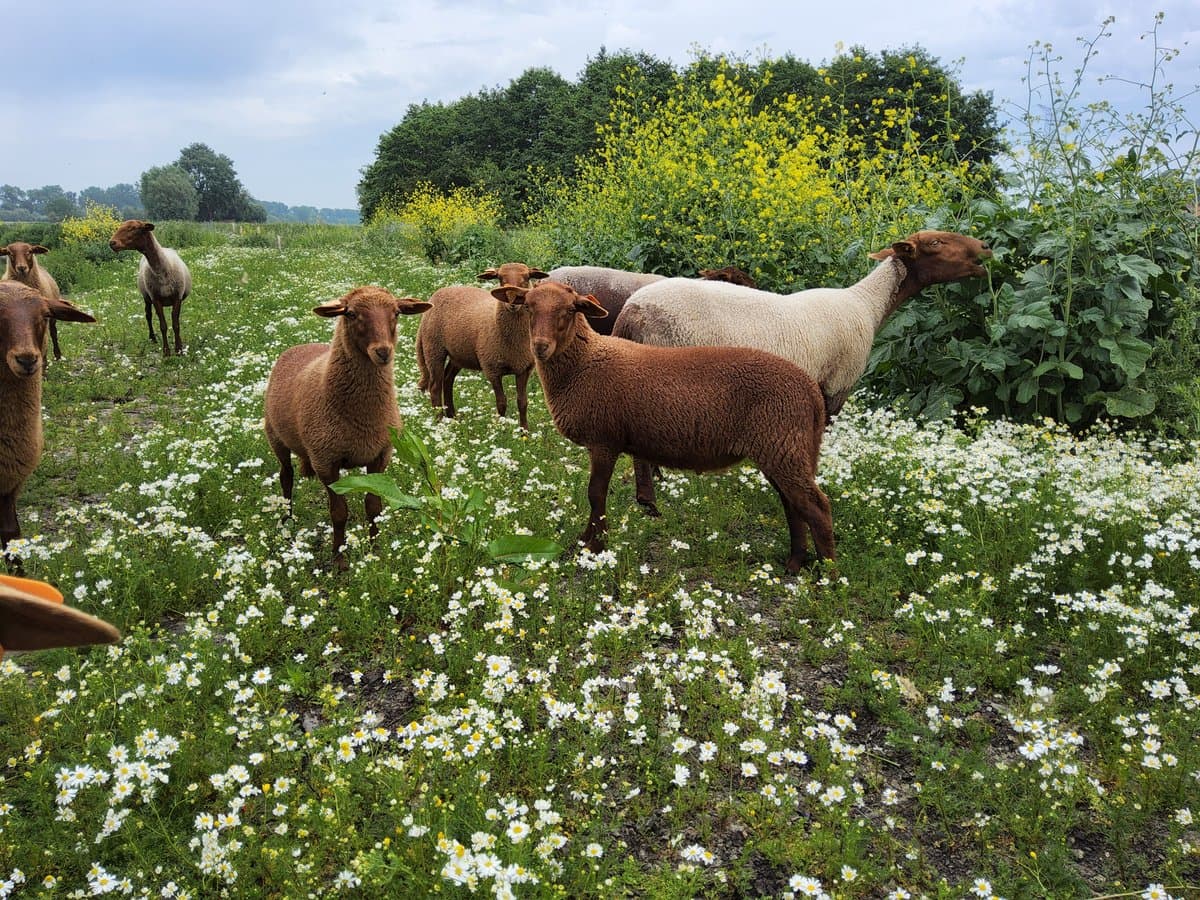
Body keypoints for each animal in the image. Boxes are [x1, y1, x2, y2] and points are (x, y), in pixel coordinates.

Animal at [108, 220, 193, 356]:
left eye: (133, 228)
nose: (112, 243)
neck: (162, 270)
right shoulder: (155, 298)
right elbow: (163, 326)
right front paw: (166, 352)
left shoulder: (177, 297)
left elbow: (176, 324)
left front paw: (179, 349)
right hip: (146, 296)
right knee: (148, 315)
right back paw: (152, 338)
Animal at [264, 286, 431, 571]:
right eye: (351, 314)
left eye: (397, 312)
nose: (383, 352)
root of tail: (301, 346)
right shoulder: (326, 462)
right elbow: (339, 514)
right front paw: (340, 560)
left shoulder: (380, 455)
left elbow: (374, 507)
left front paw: (375, 553)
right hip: (275, 436)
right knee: (286, 476)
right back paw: (287, 521)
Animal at [415, 262, 548, 430]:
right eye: (500, 279)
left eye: (526, 278)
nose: (512, 301)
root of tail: (438, 293)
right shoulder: (491, 369)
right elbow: (501, 403)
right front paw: (501, 429)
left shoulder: (524, 368)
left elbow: (522, 402)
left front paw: (524, 431)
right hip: (434, 348)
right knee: (435, 387)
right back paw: (439, 422)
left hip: (459, 354)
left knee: (448, 379)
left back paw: (452, 416)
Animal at [491, 280, 834, 573]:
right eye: (528, 307)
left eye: (568, 310)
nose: (540, 347)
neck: (584, 364)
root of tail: (810, 390)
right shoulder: (600, 443)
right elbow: (595, 496)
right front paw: (585, 541)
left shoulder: (604, 440)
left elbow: (596, 494)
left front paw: (596, 546)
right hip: (782, 448)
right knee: (794, 505)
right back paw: (795, 564)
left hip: (783, 445)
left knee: (816, 506)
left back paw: (827, 575)